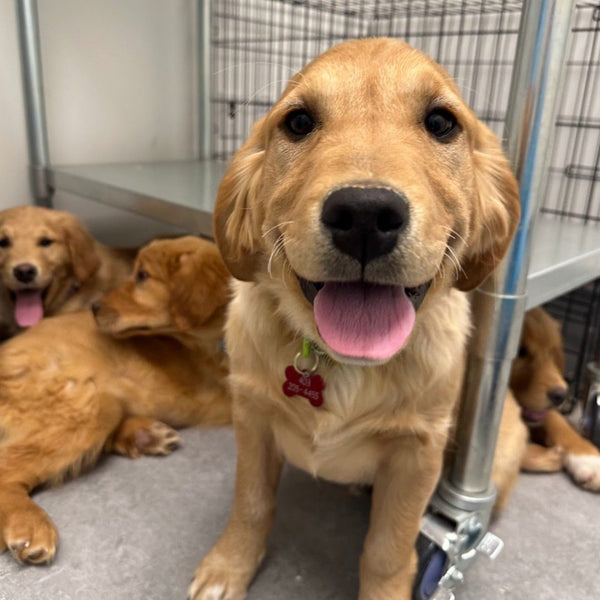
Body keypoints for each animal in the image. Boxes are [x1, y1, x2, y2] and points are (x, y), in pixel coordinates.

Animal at [191, 39, 520, 600]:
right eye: (298, 122)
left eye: (441, 122)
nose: (365, 213)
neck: (336, 361)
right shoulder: (251, 416)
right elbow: (251, 504)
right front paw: (228, 566)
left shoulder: (418, 454)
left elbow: (388, 550)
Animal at [510, 308, 600, 490]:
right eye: (519, 351)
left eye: (552, 352)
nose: (562, 396)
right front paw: (549, 455)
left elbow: (556, 421)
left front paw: (589, 459)